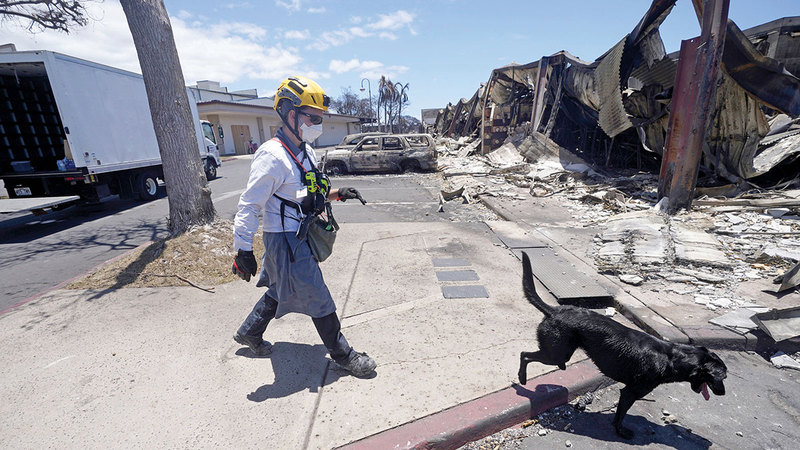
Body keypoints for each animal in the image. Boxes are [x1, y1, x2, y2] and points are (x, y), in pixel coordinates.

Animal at [520, 253, 724, 440]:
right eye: (723, 377)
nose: (723, 393)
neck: (672, 358)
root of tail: (554, 310)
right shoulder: (630, 392)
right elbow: (621, 415)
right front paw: (621, 431)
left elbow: (619, 413)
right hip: (557, 355)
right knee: (525, 354)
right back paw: (521, 378)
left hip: (558, 354)